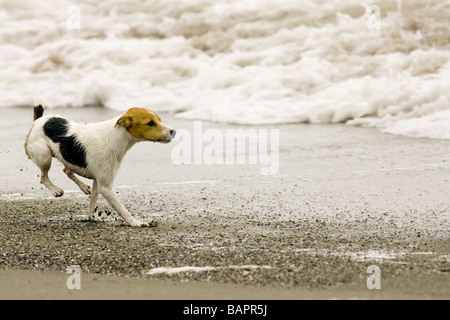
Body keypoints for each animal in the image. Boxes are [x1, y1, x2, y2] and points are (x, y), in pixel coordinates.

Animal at [24, 103, 176, 228]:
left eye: (159, 120)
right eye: (150, 123)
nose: (173, 131)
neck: (115, 138)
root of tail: (38, 120)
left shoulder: (98, 180)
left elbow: (93, 200)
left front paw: (92, 216)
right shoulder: (106, 187)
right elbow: (122, 209)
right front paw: (136, 223)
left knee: (67, 170)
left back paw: (84, 187)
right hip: (44, 156)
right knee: (44, 178)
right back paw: (56, 190)